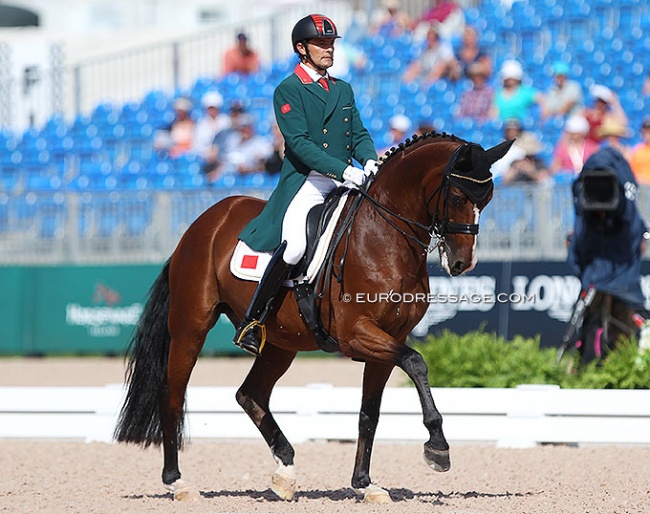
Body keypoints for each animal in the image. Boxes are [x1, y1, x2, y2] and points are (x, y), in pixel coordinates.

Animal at [115, 131, 512, 500]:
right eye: (458, 197)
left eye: (488, 199)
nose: (461, 263)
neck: (384, 236)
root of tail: (202, 224)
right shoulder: (357, 334)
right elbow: (417, 363)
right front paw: (438, 448)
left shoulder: (390, 339)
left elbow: (370, 413)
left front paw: (365, 484)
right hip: (190, 328)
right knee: (172, 393)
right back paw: (177, 482)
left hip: (280, 341)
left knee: (250, 394)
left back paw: (285, 472)